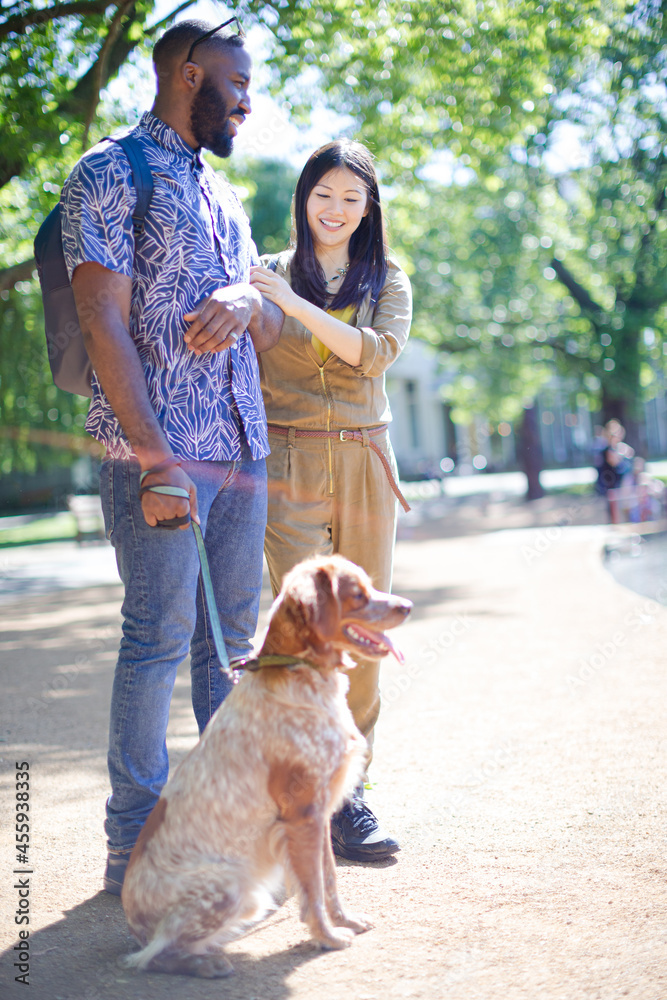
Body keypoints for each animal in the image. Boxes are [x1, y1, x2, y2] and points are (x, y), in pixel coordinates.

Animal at [120, 552, 412, 980]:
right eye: (357, 595)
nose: (408, 606)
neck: (300, 672)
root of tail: (132, 921)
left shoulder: (320, 814)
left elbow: (329, 880)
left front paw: (345, 922)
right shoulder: (302, 816)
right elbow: (312, 888)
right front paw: (327, 937)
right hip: (230, 887)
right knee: (153, 954)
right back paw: (207, 963)